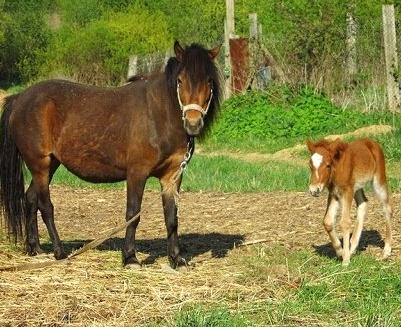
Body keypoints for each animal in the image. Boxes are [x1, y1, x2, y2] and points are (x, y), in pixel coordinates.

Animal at [0, 41, 222, 270]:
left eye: (209, 81)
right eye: (180, 80)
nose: (193, 124)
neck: (159, 115)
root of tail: (19, 98)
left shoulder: (172, 176)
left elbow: (171, 217)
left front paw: (176, 259)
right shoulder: (137, 173)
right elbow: (133, 214)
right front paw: (130, 257)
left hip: (50, 165)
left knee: (30, 198)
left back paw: (35, 248)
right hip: (40, 164)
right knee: (45, 206)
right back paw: (59, 252)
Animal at [306, 138, 390, 266]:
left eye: (328, 165)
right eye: (310, 165)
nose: (314, 190)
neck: (338, 166)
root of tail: (371, 142)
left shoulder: (347, 191)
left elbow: (345, 222)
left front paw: (345, 260)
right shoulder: (334, 193)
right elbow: (327, 221)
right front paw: (340, 252)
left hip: (378, 179)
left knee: (387, 208)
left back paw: (386, 251)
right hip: (357, 187)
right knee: (363, 203)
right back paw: (352, 248)